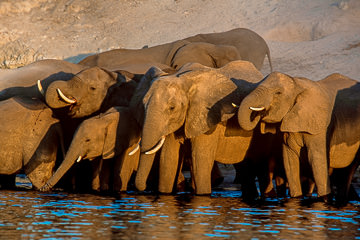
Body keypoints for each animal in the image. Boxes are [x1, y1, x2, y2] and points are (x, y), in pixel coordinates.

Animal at [132, 61, 278, 198]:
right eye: (143, 105)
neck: (183, 79)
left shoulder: (208, 118)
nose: (144, 188)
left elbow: (200, 161)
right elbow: (168, 159)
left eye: (172, 108)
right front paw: (164, 195)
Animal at [236, 71, 360, 201]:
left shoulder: (321, 127)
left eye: (278, 93)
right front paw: (296, 198)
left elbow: (316, 158)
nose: (259, 113)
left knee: (348, 171)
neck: (297, 84)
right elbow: (289, 158)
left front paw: (324, 200)